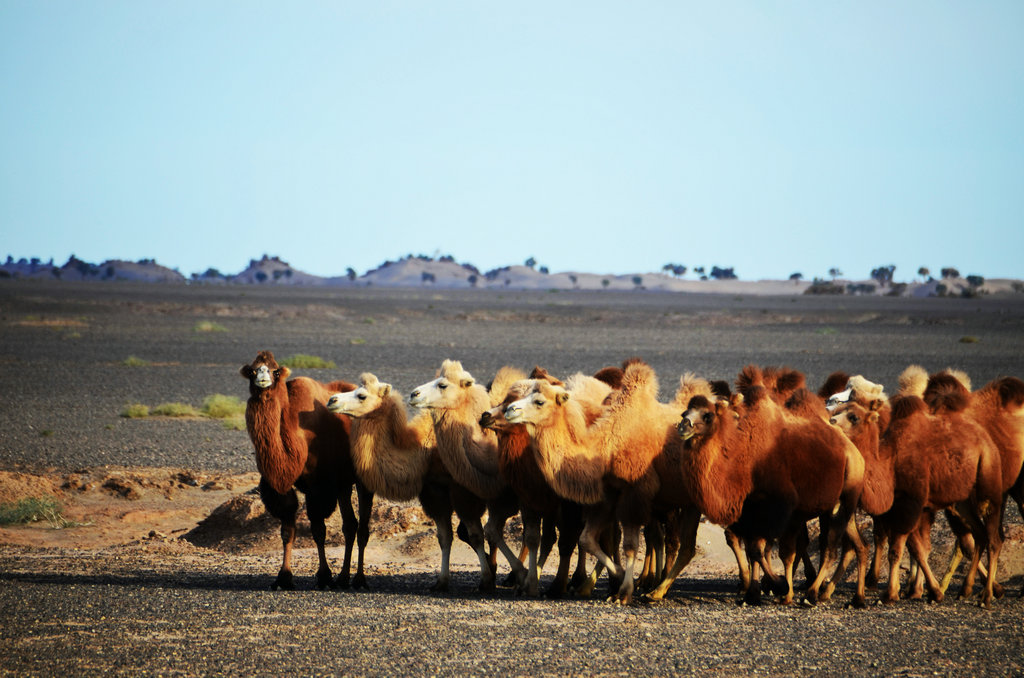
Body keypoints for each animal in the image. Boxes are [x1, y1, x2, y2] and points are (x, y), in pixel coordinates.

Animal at [238, 352, 372, 594]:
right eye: (252, 370)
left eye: (275, 371)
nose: (262, 378)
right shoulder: (278, 487)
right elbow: (287, 530)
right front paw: (283, 578)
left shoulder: (318, 487)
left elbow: (318, 530)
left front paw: (324, 577)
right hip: (342, 483)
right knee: (350, 525)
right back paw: (343, 578)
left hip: (363, 478)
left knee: (363, 527)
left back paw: (358, 580)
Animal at [675, 366, 868, 610]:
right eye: (684, 413)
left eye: (707, 415)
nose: (683, 426)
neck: (744, 462)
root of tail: (854, 452)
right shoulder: (748, 514)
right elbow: (754, 550)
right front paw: (755, 593)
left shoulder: (783, 510)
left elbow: (778, 552)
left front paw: (781, 589)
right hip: (834, 505)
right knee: (857, 544)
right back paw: (853, 597)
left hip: (848, 492)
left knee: (830, 547)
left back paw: (812, 594)